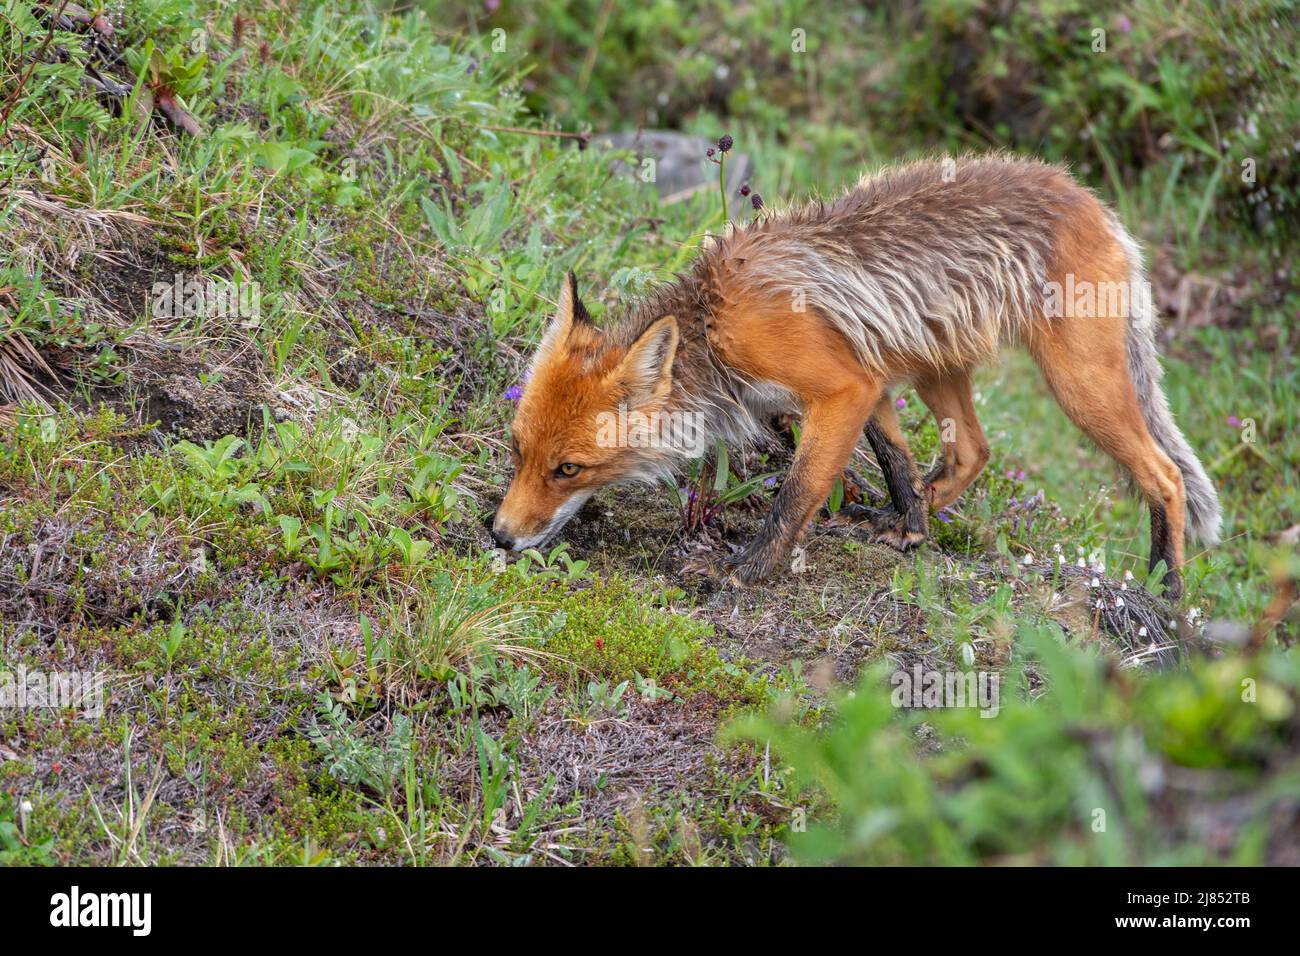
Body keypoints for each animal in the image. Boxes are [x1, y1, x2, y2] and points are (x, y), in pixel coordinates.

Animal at [492, 155, 1221, 598]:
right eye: (518, 451)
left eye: (569, 470)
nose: (498, 535)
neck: (714, 327)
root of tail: (1099, 205)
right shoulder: (868, 377)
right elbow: (895, 458)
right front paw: (911, 529)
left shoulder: (842, 387)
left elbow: (797, 493)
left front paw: (749, 571)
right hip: (935, 367)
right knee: (972, 452)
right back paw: (918, 517)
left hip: (1080, 386)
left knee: (1166, 476)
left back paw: (1169, 590)